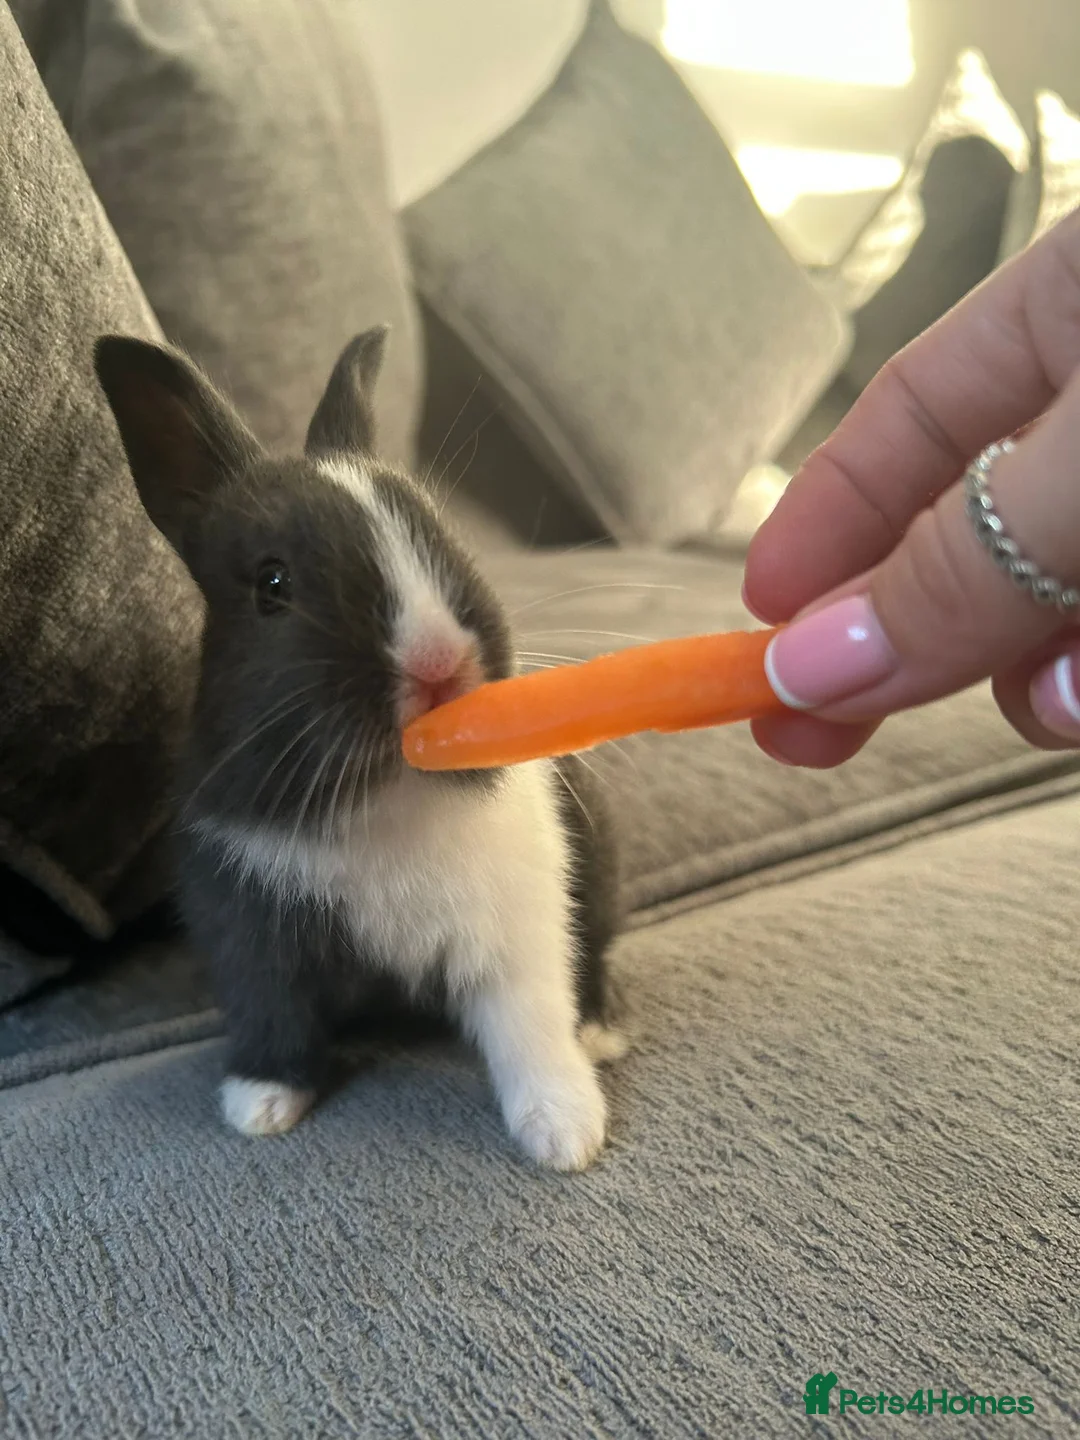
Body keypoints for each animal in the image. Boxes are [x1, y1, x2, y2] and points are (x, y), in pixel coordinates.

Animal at [94, 327, 625, 1171]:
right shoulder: (251, 936)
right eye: (272, 585)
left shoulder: (520, 934)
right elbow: (272, 1014)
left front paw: (565, 1137)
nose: (439, 664)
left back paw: (600, 1036)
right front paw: (259, 1107)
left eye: (441, 533)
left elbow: (530, 1031)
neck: (389, 787)